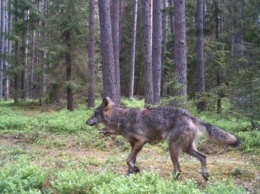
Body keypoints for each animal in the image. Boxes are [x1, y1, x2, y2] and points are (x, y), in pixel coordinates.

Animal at [86, 97, 241, 180]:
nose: (86, 122)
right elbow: (130, 161)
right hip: (186, 148)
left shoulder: (141, 141)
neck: (120, 118)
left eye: (94, 113)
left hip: (173, 147)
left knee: (178, 169)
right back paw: (205, 175)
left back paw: (170, 180)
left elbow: (128, 160)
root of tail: (191, 116)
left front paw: (135, 170)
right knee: (203, 157)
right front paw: (129, 174)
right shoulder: (133, 144)